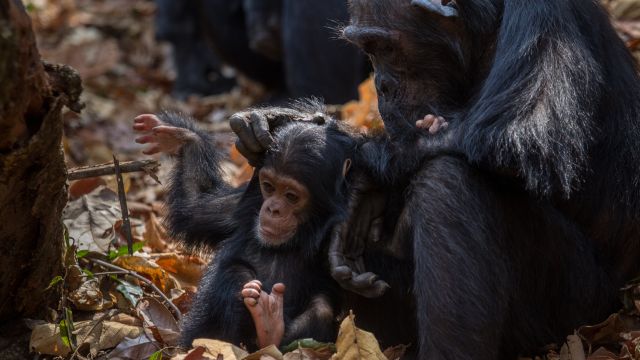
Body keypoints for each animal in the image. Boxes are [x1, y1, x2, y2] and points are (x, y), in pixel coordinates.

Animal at [132, 110, 358, 352]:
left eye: (291, 196)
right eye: (269, 186)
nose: (272, 209)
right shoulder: (237, 208)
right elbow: (194, 207)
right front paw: (181, 137)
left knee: (321, 307)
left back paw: (270, 327)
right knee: (237, 273)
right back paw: (263, 317)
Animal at [230, 0, 640, 358]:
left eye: (384, 47)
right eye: (368, 50)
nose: (381, 84)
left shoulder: (545, 23)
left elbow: (516, 137)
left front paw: (356, 166)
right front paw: (280, 122)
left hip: (569, 307)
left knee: (449, 182)